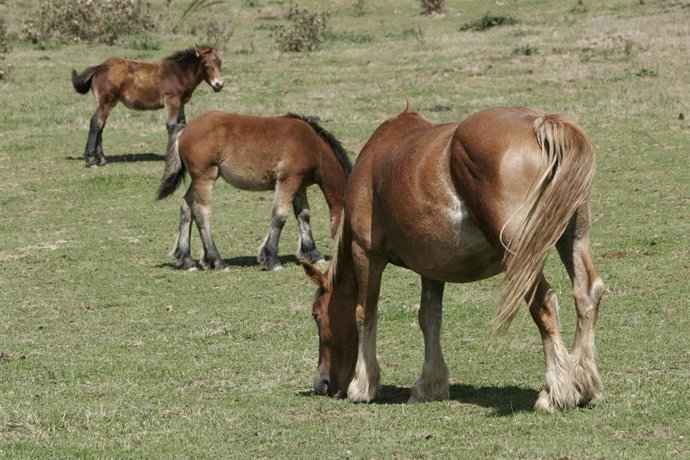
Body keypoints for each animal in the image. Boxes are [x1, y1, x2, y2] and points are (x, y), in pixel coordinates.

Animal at [71, 45, 224, 167]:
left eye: (219, 63)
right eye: (205, 65)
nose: (219, 85)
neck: (178, 73)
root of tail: (99, 67)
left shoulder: (181, 104)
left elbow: (182, 125)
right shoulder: (171, 101)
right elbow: (171, 126)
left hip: (107, 104)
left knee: (101, 126)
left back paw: (101, 159)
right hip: (106, 103)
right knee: (95, 123)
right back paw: (91, 159)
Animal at [156, 111, 352, 271]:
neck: (313, 146)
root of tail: (185, 129)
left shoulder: (299, 186)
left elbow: (303, 216)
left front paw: (313, 254)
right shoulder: (288, 180)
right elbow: (279, 216)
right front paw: (271, 259)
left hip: (198, 180)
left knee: (186, 207)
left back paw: (187, 260)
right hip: (205, 177)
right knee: (201, 212)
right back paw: (217, 261)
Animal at [301, 106, 604, 412]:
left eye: (316, 315)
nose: (322, 383)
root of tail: (538, 123)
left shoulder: (366, 253)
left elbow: (365, 313)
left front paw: (363, 386)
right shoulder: (432, 267)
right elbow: (429, 317)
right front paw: (428, 385)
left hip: (521, 258)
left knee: (544, 304)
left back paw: (554, 393)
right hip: (572, 238)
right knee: (587, 293)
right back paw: (583, 385)